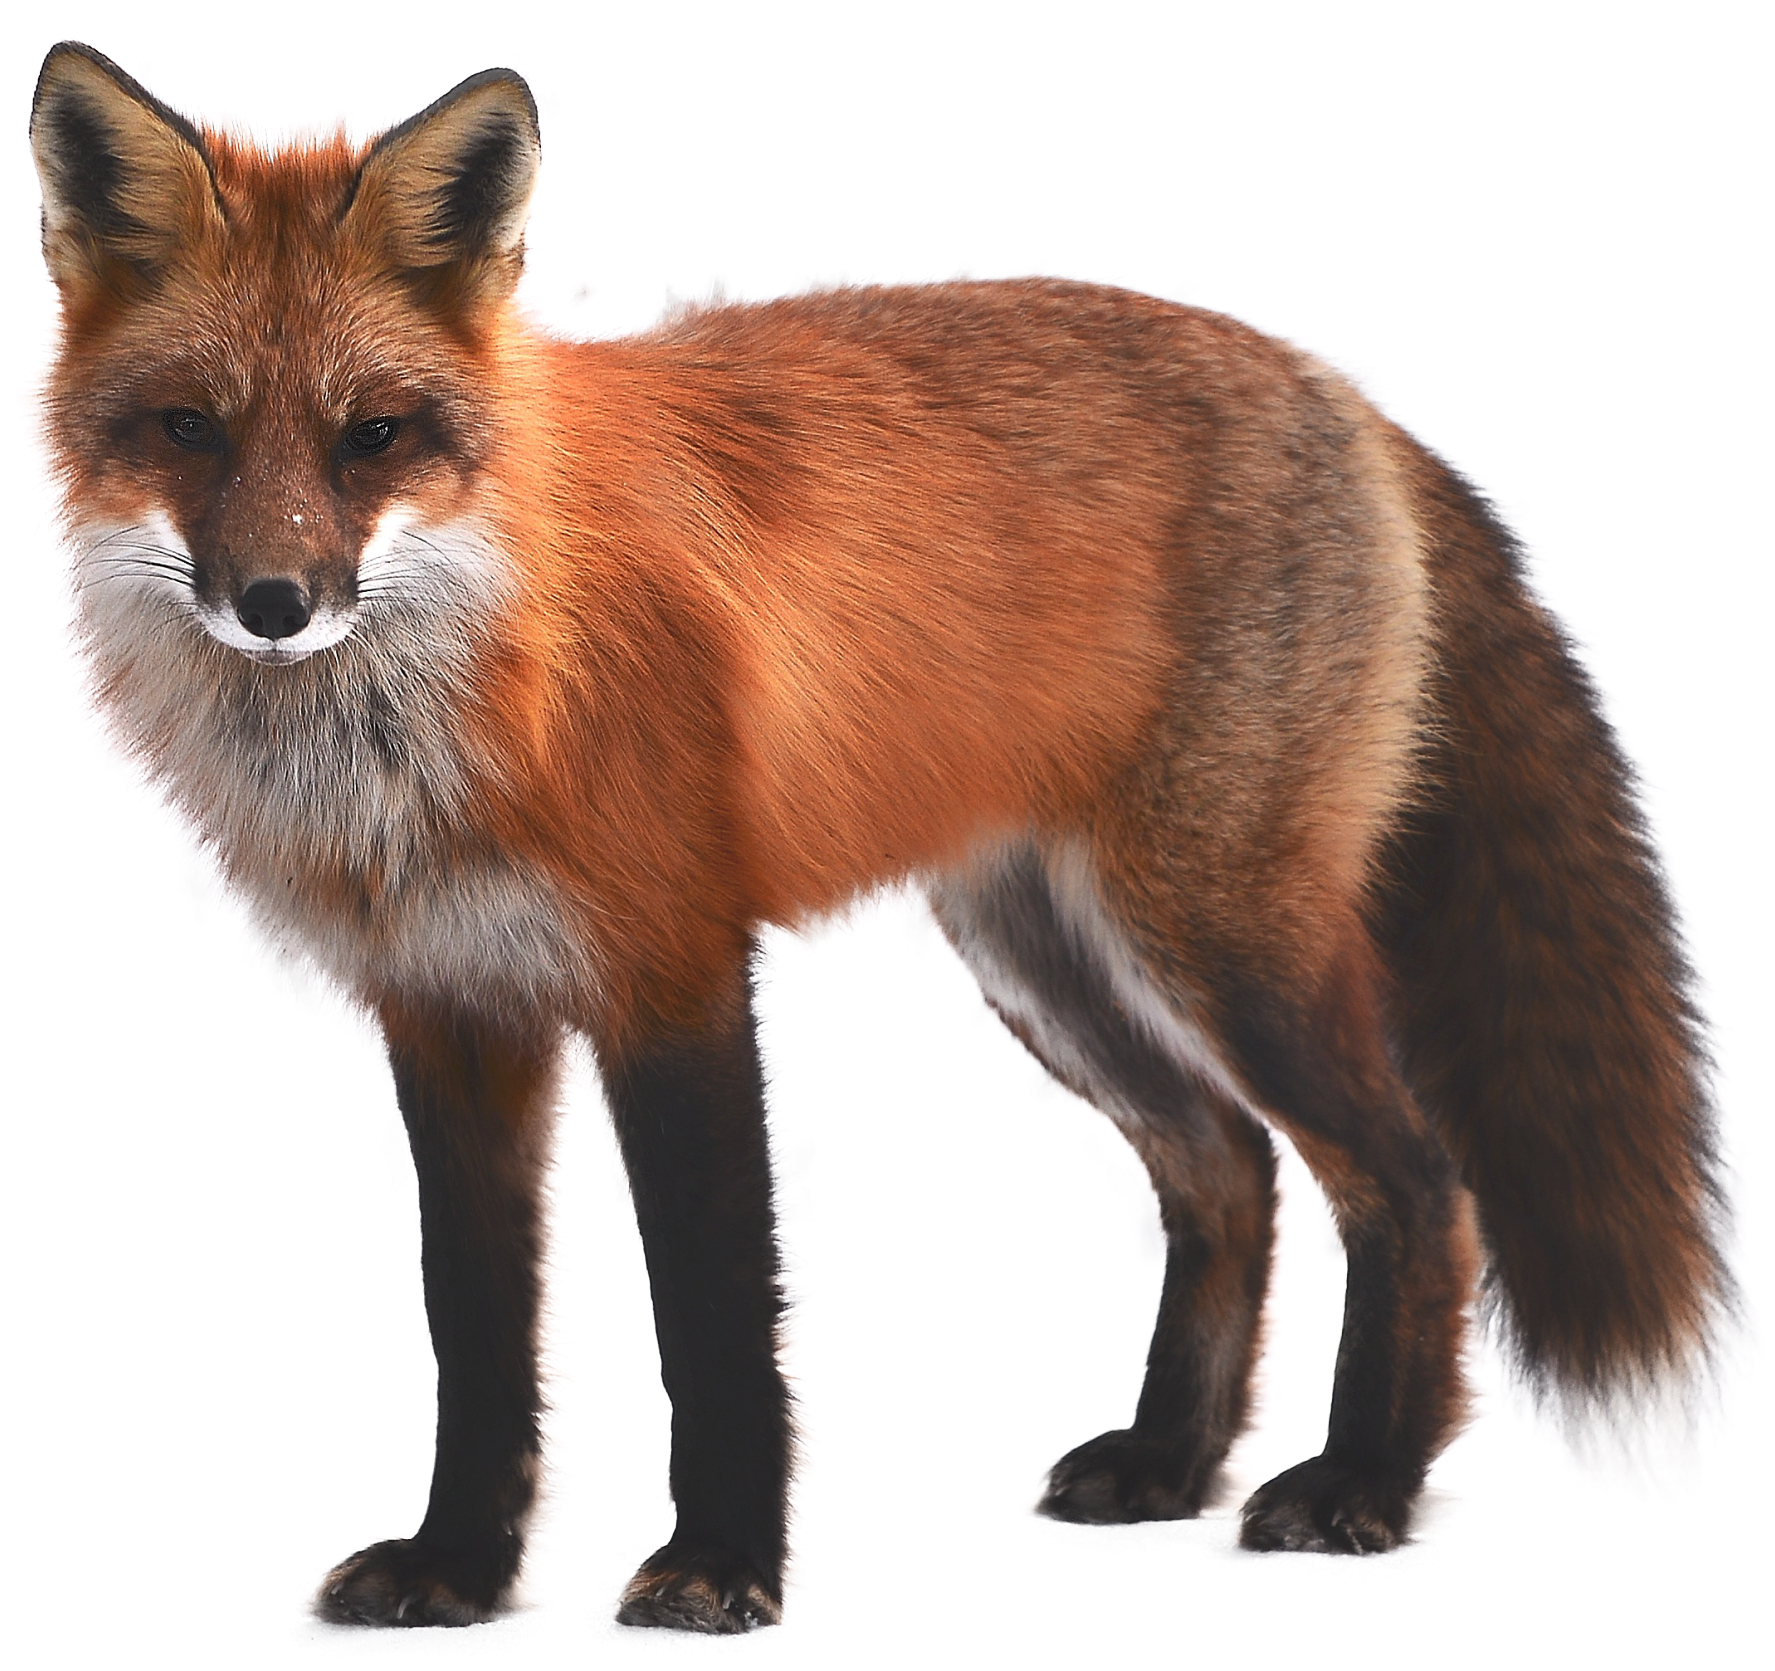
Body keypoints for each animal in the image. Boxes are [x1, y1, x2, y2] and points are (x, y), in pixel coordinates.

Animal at [18, 36, 1764, 1636]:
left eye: (371, 436)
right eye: (187, 428)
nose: (274, 602)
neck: (458, 686)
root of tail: (1353, 391)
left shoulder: (671, 972)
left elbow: (715, 1302)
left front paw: (720, 1573)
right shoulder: (451, 1014)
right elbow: (481, 1330)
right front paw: (457, 1573)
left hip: (1219, 941)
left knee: (1409, 1179)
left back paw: (1361, 1491)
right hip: (1052, 959)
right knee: (1226, 1172)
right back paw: (1165, 1465)